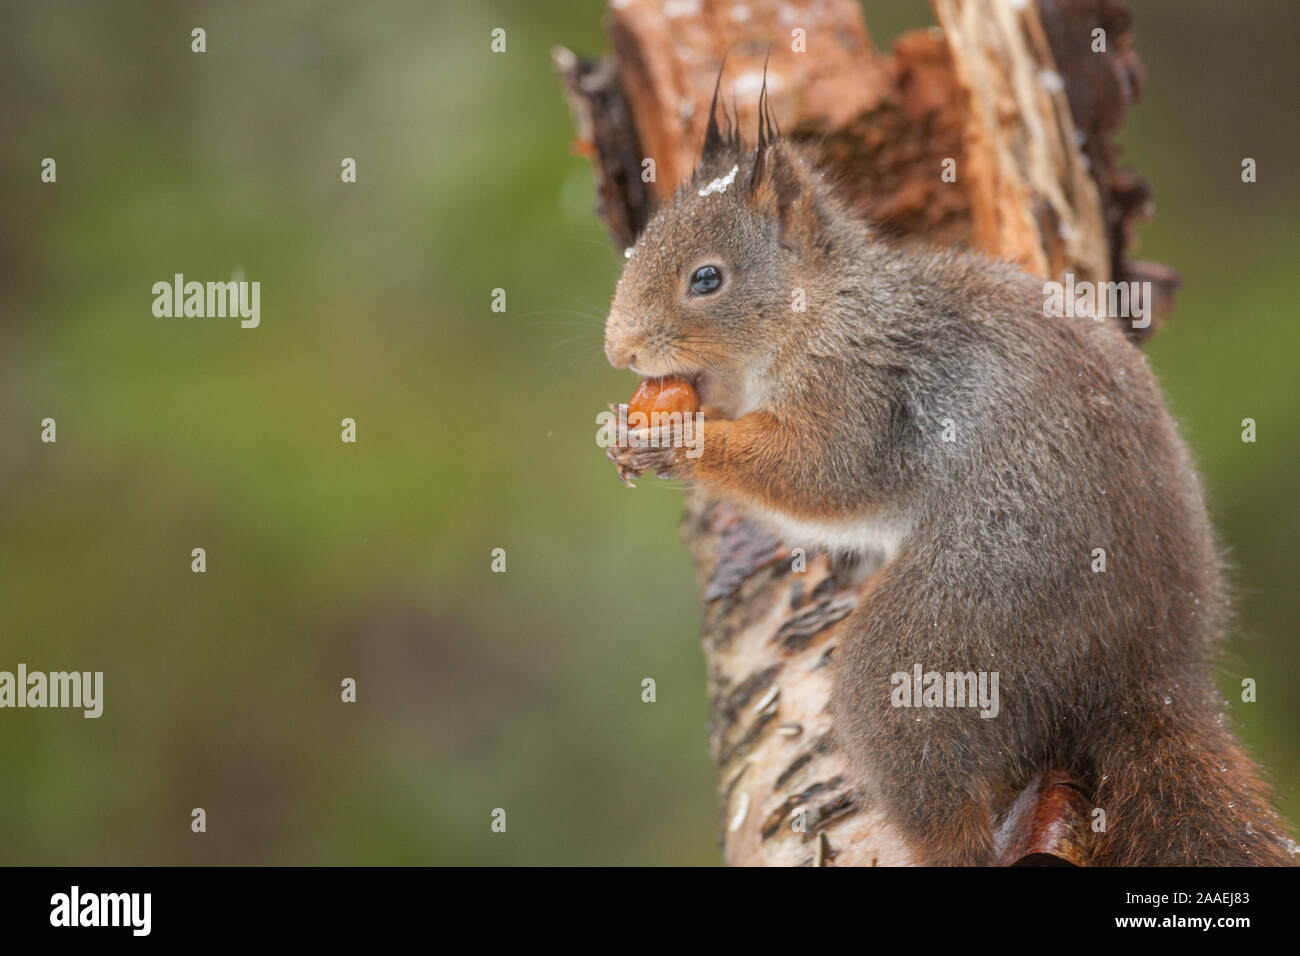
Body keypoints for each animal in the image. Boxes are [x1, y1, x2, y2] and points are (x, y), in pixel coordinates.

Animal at [603, 78, 1294, 863]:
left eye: (707, 279)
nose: (619, 349)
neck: (819, 313)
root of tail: (1146, 658)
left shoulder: (861, 392)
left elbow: (821, 476)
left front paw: (681, 439)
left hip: (955, 623)